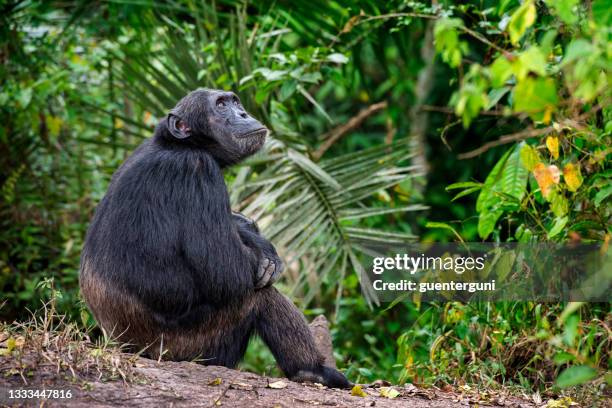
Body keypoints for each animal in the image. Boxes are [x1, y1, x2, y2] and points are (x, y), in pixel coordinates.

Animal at [79, 88, 352, 388]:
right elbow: (225, 270)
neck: (181, 146)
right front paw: (259, 248)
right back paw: (312, 371)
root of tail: (125, 348)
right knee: (258, 295)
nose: (243, 113)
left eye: (235, 102)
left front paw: (250, 231)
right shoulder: (197, 170)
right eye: (221, 105)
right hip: (192, 348)